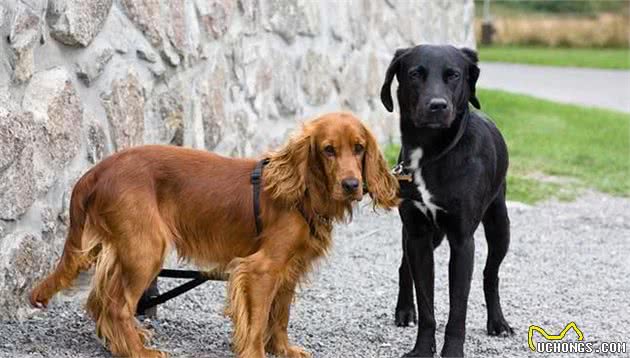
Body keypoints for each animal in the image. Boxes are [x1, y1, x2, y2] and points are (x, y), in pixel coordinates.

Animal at [29, 112, 400, 358]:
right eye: (328, 149)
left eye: (359, 147)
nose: (351, 185)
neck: (303, 190)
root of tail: (96, 171)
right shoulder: (260, 269)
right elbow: (257, 320)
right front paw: (256, 353)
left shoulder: (289, 270)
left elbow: (280, 315)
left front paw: (283, 349)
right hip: (146, 249)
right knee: (118, 305)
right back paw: (137, 351)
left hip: (125, 248)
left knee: (100, 300)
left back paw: (124, 340)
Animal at [382, 45, 516, 358]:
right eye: (415, 73)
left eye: (454, 75)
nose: (438, 105)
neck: (431, 155)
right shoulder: (418, 235)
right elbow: (427, 304)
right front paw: (421, 349)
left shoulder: (462, 241)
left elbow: (458, 309)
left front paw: (452, 351)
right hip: (424, 235)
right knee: (404, 266)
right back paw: (405, 310)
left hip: (499, 225)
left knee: (491, 274)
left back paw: (498, 322)